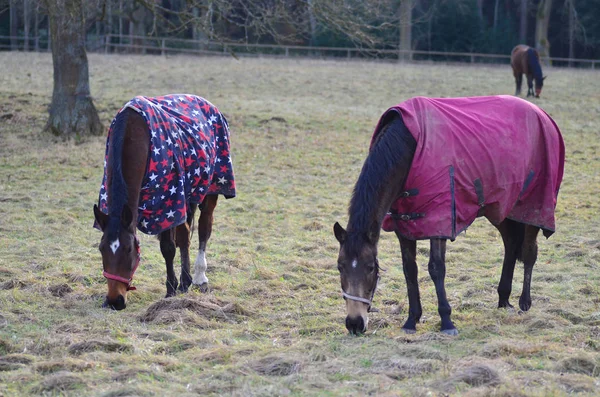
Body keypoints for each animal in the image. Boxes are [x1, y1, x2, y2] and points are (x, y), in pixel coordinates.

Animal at [93, 93, 234, 310]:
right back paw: (186, 281)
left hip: (210, 191)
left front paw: (170, 290)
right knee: (185, 236)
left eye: (128, 249)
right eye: (101, 249)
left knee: (204, 229)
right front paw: (178, 285)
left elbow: (168, 248)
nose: (115, 301)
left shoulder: (166, 204)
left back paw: (200, 277)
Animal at [332, 95, 564, 334]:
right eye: (340, 266)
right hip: (501, 208)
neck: (410, 147)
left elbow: (436, 268)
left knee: (528, 251)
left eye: (370, 267)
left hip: (531, 206)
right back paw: (503, 298)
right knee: (510, 244)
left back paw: (524, 302)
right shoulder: (403, 226)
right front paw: (411, 320)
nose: (354, 323)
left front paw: (446, 321)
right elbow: (409, 270)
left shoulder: (439, 222)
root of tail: (541, 114)